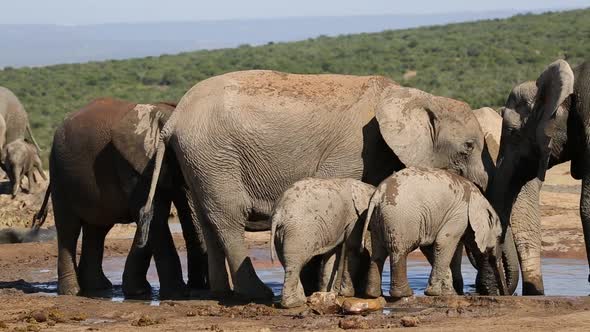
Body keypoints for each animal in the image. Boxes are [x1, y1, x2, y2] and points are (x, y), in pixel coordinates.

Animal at [34, 97, 209, 296]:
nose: (200, 285)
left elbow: (156, 215)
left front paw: (138, 291)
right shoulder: (132, 165)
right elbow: (154, 215)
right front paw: (176, 293)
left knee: (97, 229)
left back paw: (99, 287)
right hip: (59, 173)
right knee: (68, 228)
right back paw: (72, 292)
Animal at [272, 179, 376, 308]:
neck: (364, 186)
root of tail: (278, 213)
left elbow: (333, 254)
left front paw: (328, 294)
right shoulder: (354, 217)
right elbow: (353, 247)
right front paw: (346, 294)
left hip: (281, 234)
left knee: (287, 262)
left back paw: (301, 300)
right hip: (298, 232)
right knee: (295, 263)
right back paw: (293, 304)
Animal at [364, 167, 512, 300]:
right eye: (499, 237)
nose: (506, 294)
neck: (480, 198)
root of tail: (377, 195)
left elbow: (431, 248)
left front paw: (449, 294)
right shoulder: (460, 214)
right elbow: (443, 243)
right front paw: (436, 293)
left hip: (378, 219)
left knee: (378, 253)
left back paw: (373, 294)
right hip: (400, 217)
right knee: (399, 251)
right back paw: (405, 294)